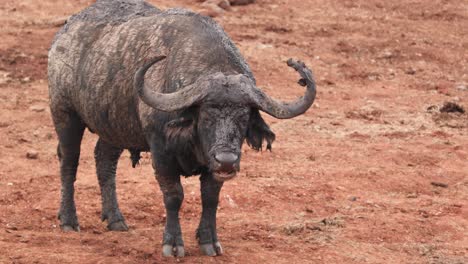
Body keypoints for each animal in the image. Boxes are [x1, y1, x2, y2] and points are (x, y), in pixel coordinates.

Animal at [48, 0, 318, 256]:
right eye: (206, 116)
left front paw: (209, 241)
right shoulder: (162, 156)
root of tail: (65, 32)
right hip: (65, 114)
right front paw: (173, 243)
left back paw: (115, 219)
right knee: (69, 162)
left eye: (243, 117)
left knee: (104, 160)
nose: (227, 161)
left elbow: (210, 197)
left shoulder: (212, 168)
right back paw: (69, 220)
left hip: (114, 127)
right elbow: (174, 196)